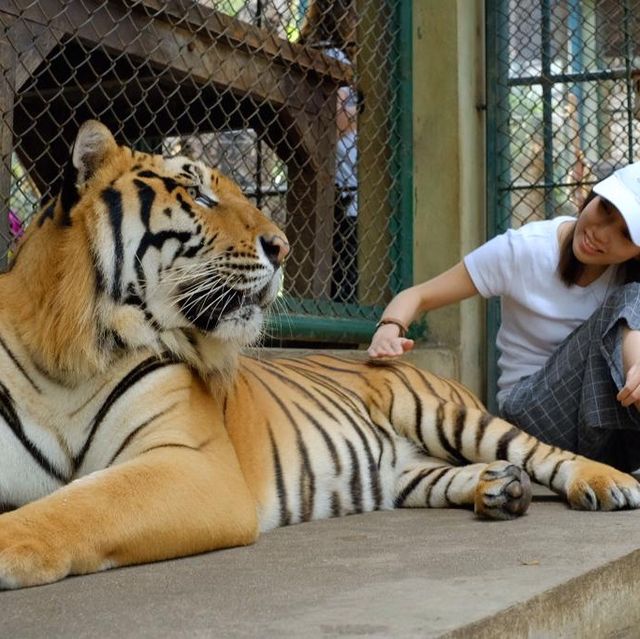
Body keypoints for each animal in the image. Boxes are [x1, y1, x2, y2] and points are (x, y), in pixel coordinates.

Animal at [0, 120, 636, 592]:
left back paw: (607, 482)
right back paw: (501, 489)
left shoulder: (192, 464)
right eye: (199, 194)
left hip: (446, 415)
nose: (281, 248)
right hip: (405, 471)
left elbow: (79, 507)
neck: (71, 356)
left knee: (540, 450)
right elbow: (72, 505)